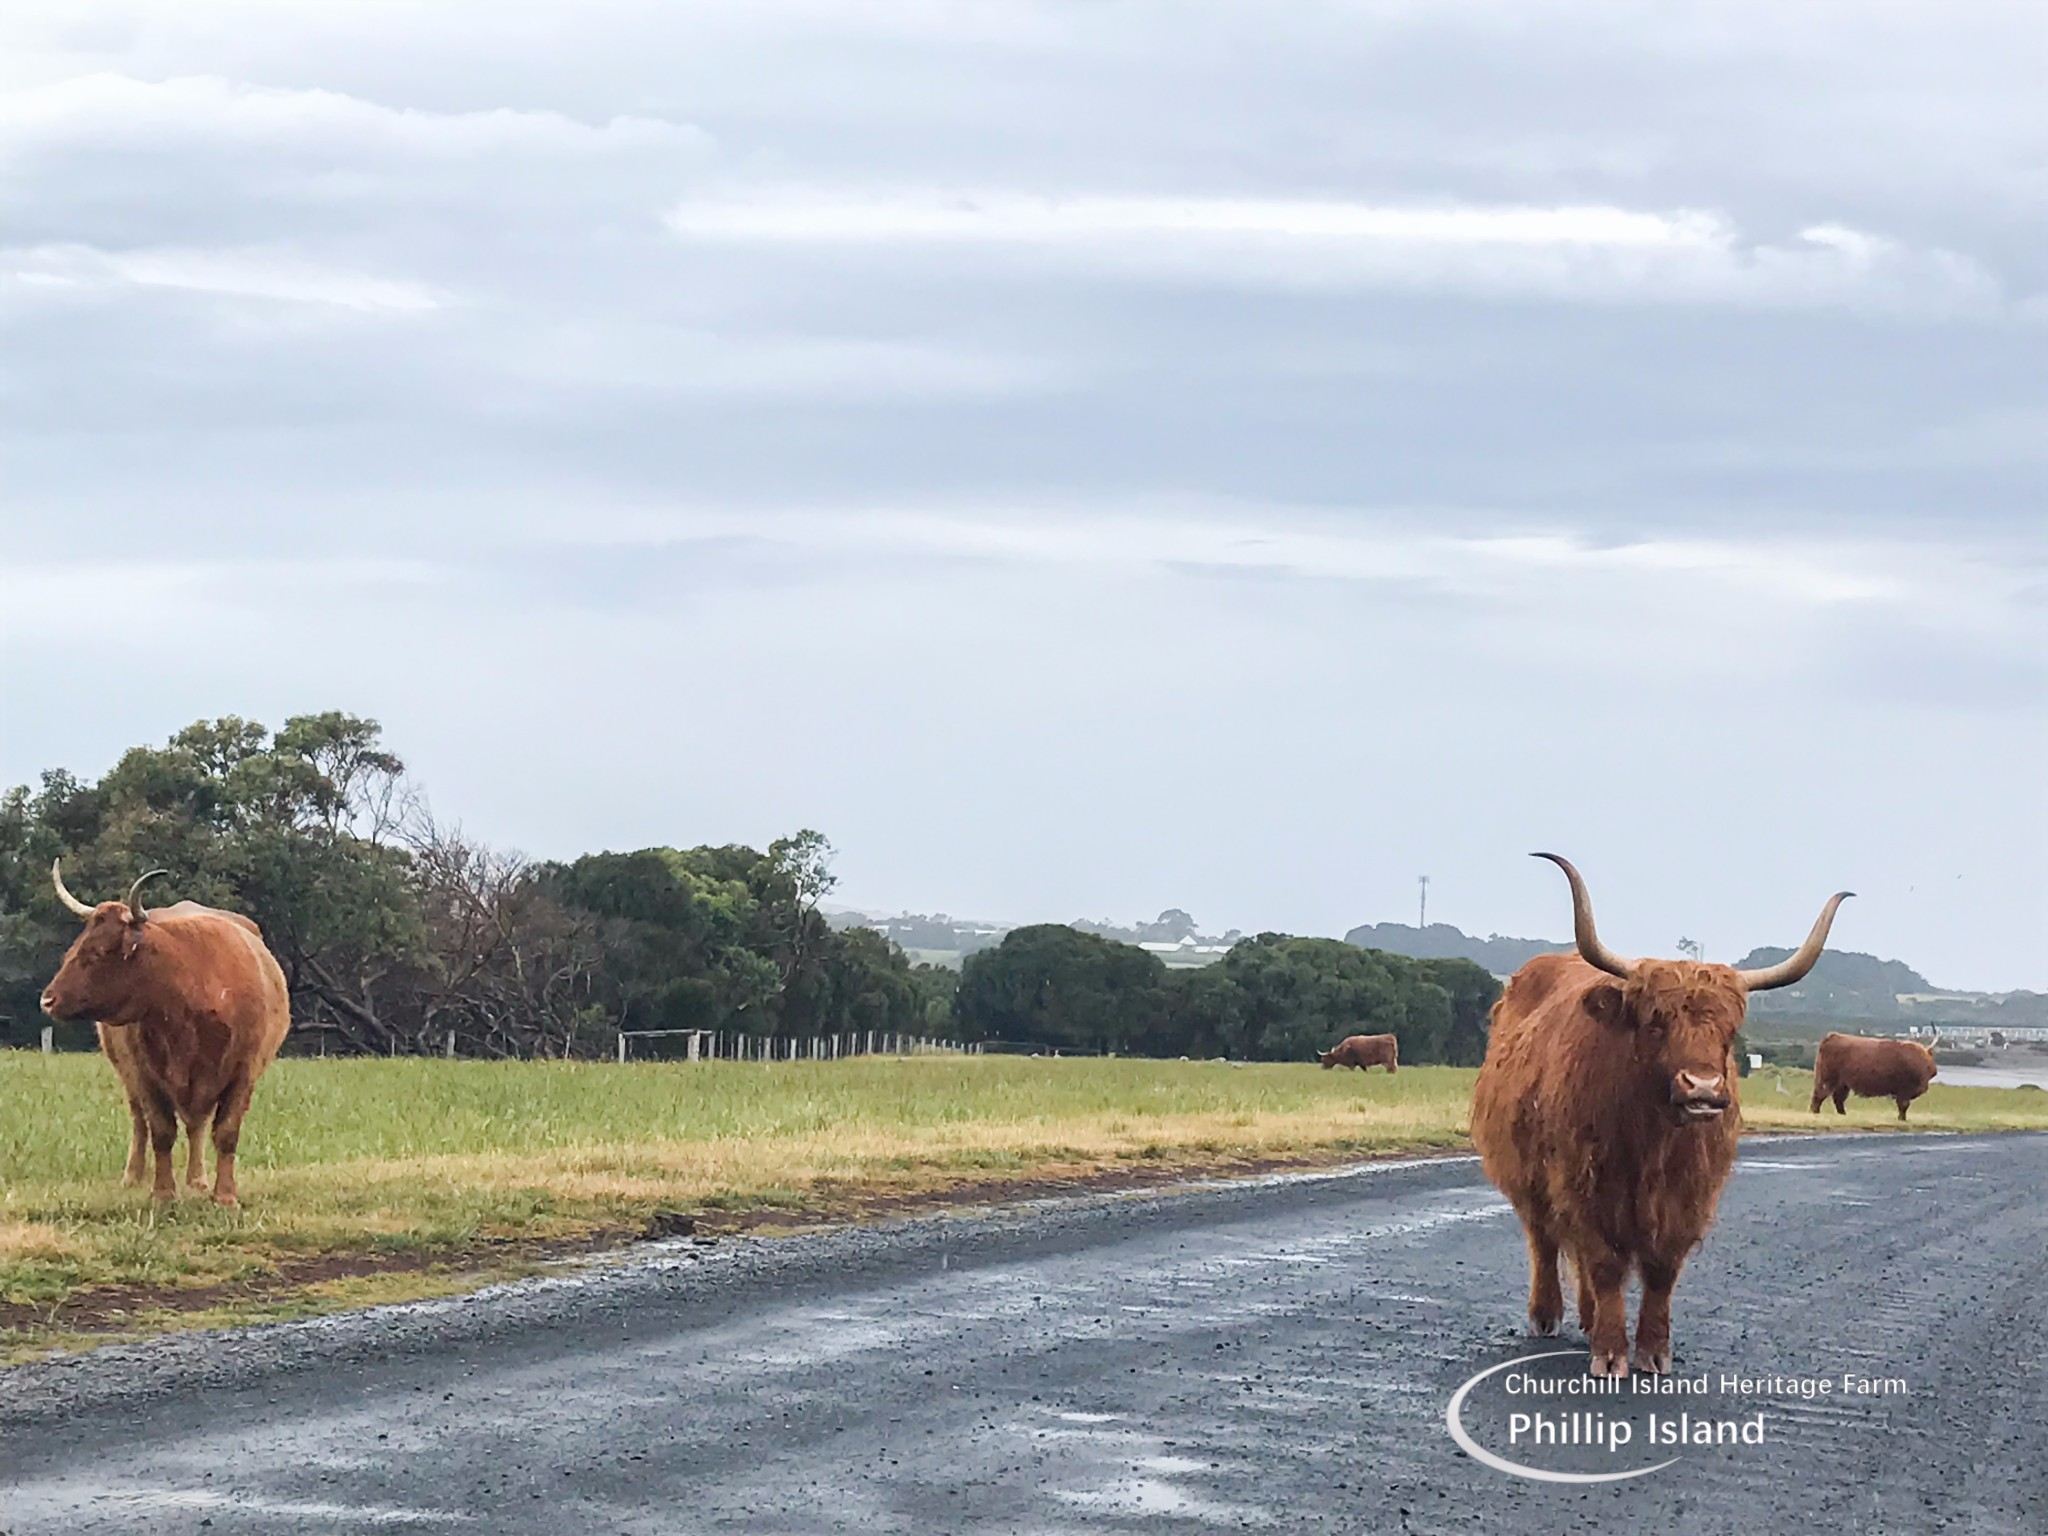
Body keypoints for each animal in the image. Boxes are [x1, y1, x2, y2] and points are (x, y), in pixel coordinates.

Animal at [43, 860, 292, 1212]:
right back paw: (134, 1176)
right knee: (141, 1122)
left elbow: (226, 1132)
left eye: (99, 952)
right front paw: (163, 1194)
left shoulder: (243, 1072)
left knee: (197, 1125)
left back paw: (198, 1180)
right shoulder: (147, 1075)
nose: (47, 1000)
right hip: (128, 1073)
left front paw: (225, 1195)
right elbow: (161, 1131)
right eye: (72, 949)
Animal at [1474, 856, 1859, 1384]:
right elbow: (1605, 1265)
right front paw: (1610, 1354)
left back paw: (1587, 1317)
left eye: (1728, 1031)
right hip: (1529, 1177)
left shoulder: (1686, 1198)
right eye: (1656, 1023)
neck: (1651, 1141)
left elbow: (1660, 1273)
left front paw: (1654, 1353)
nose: (1702, 1088)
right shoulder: (1585, 1187)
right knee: (1544, 1241)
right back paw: (1546, 1316)